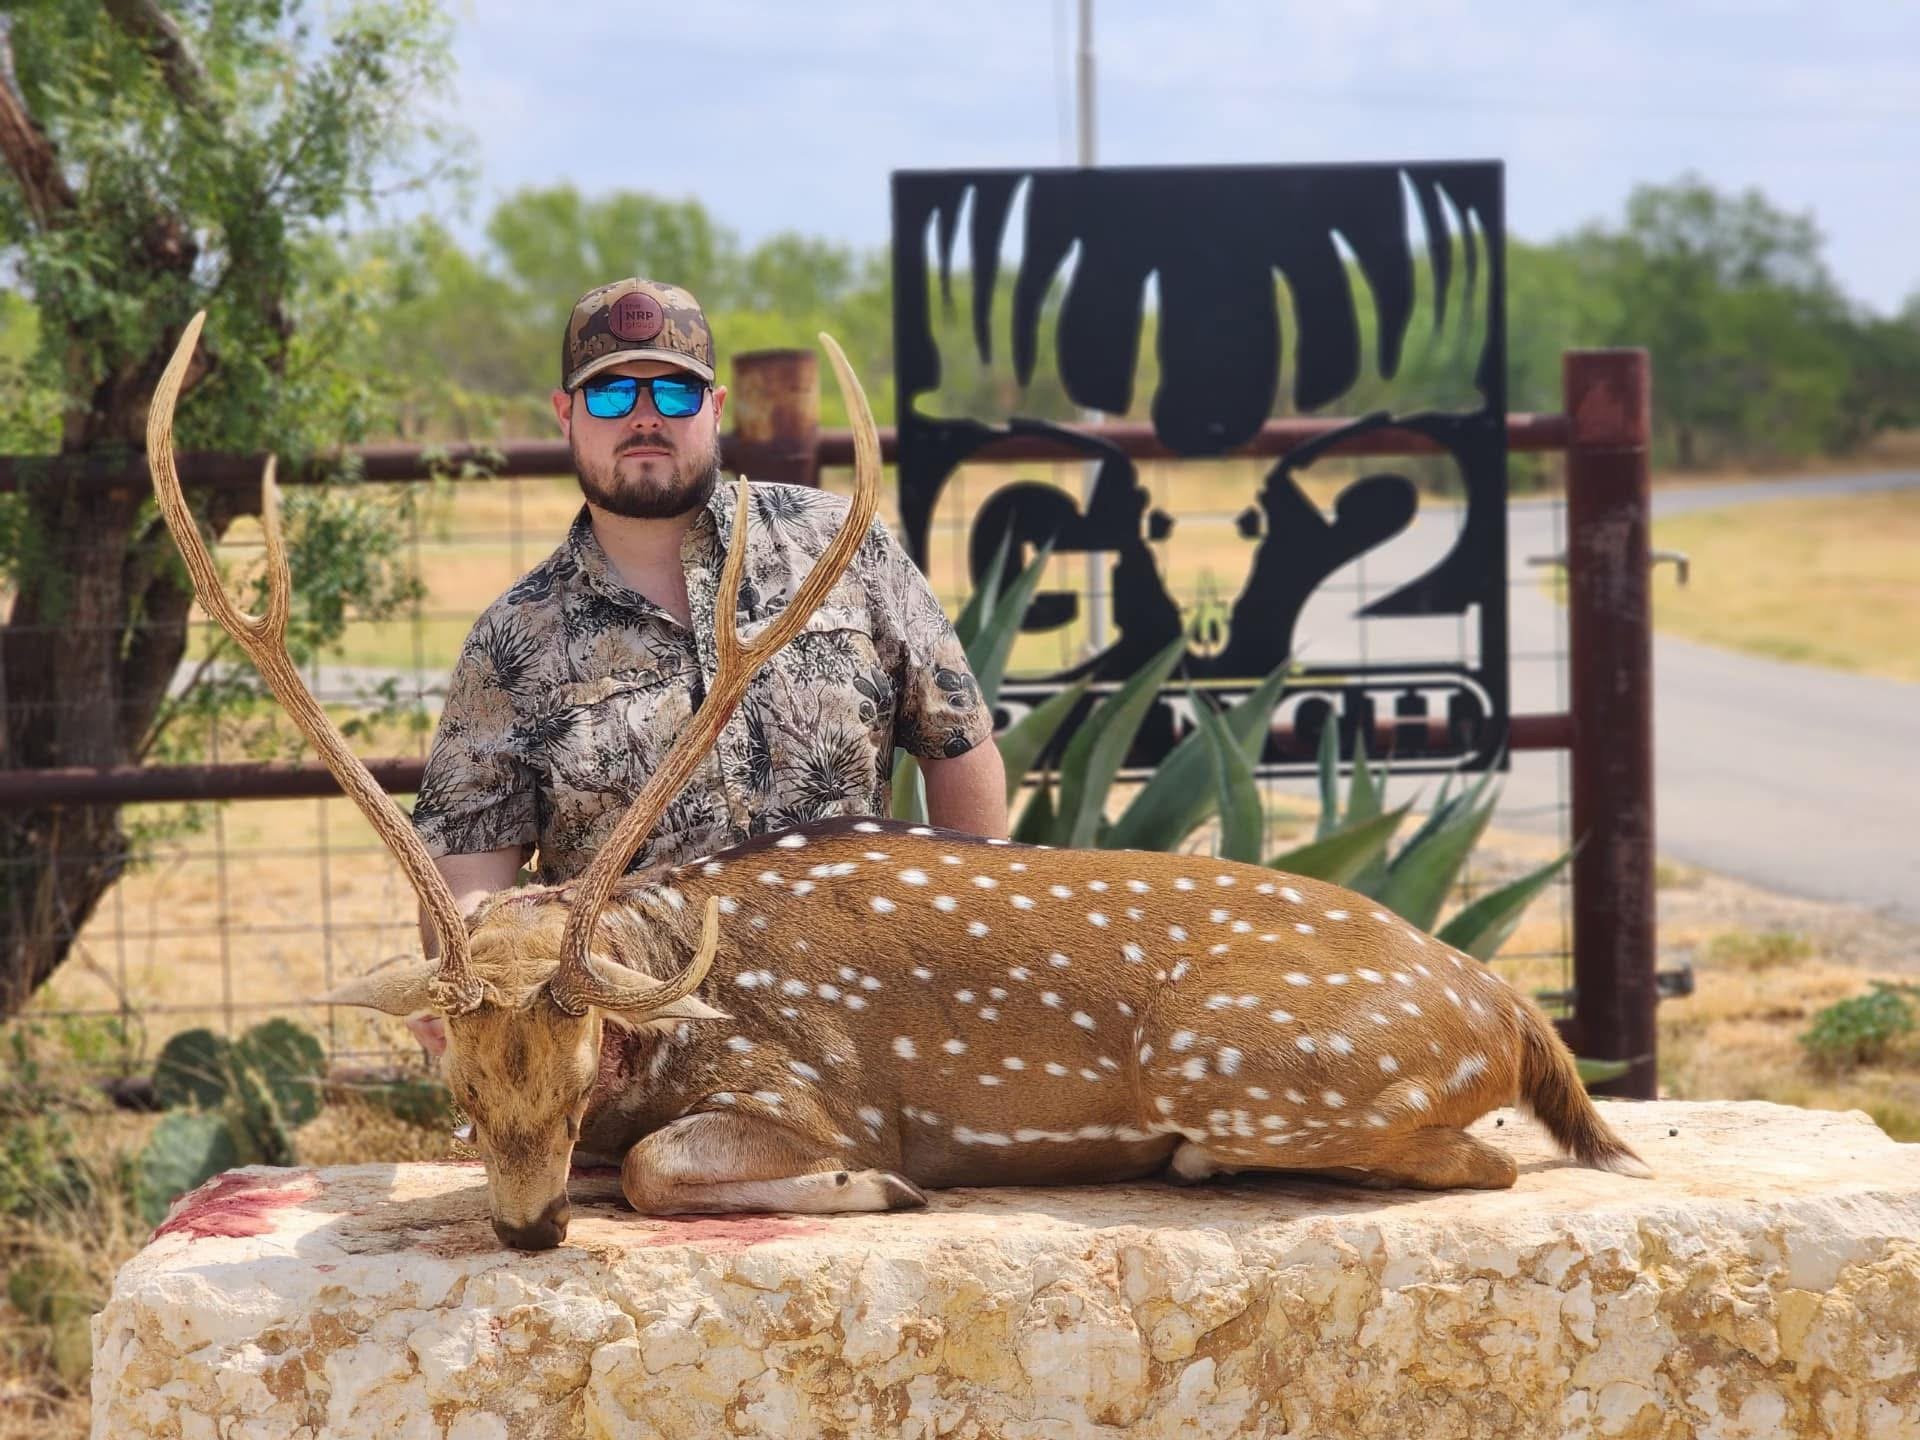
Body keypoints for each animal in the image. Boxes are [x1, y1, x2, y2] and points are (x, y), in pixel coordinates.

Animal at [147, 312, 1649, 1252]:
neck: (668, 987)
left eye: (578, 1074)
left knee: (1479, 1155)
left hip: (1254, 1060)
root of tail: (1513, 1004)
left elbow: (663, 1166)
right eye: (458, 1086)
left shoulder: (810, 1084)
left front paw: (876, 1188)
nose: (526, 1228)